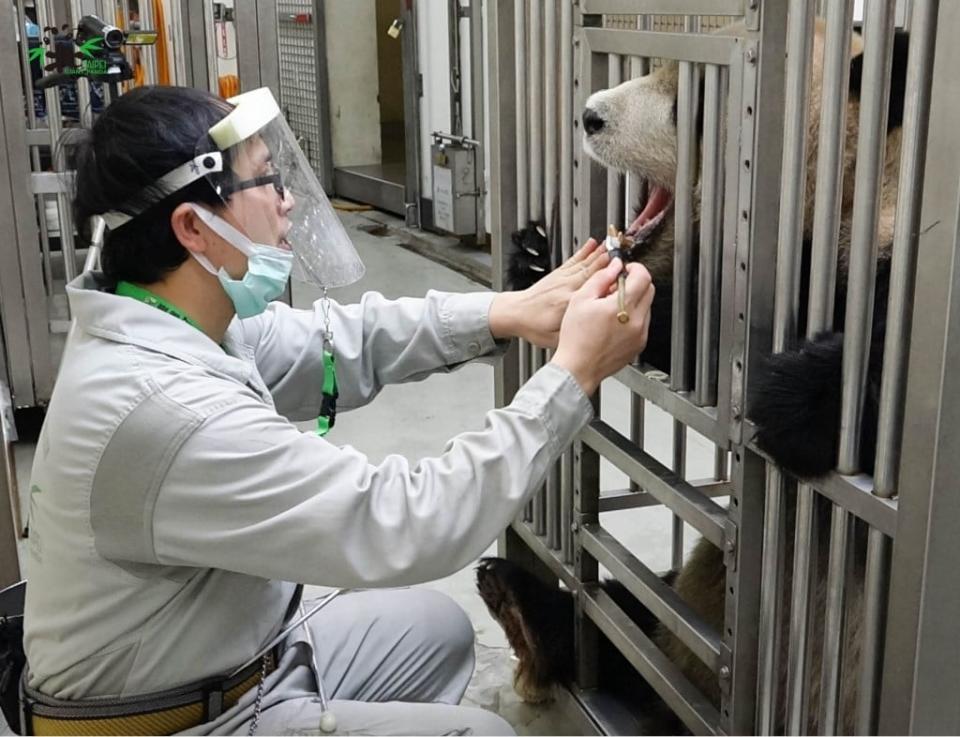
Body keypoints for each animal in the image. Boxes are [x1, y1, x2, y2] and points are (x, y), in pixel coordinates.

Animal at [484, 20, 912, 732]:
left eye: (701, 101)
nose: (589, 115)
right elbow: (691, 340)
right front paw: (540, 265)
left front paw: (791, 396)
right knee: (646, 627)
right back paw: (530, 610)